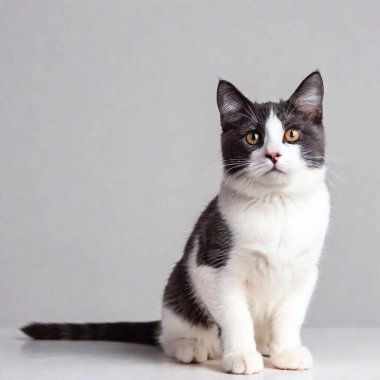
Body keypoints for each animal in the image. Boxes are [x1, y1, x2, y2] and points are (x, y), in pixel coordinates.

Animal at [21, 70, 330, 374]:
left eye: (292, 134)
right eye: (253, 137)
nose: (274, 154)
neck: (277, 204)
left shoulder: (306, 270)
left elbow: (290, 314)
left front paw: (287, 351)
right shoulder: (212, 265)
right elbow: (235, 315)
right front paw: (241, 355)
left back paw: (265, 345)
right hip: (177, 289)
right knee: (169, 334)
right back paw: (191, 346)